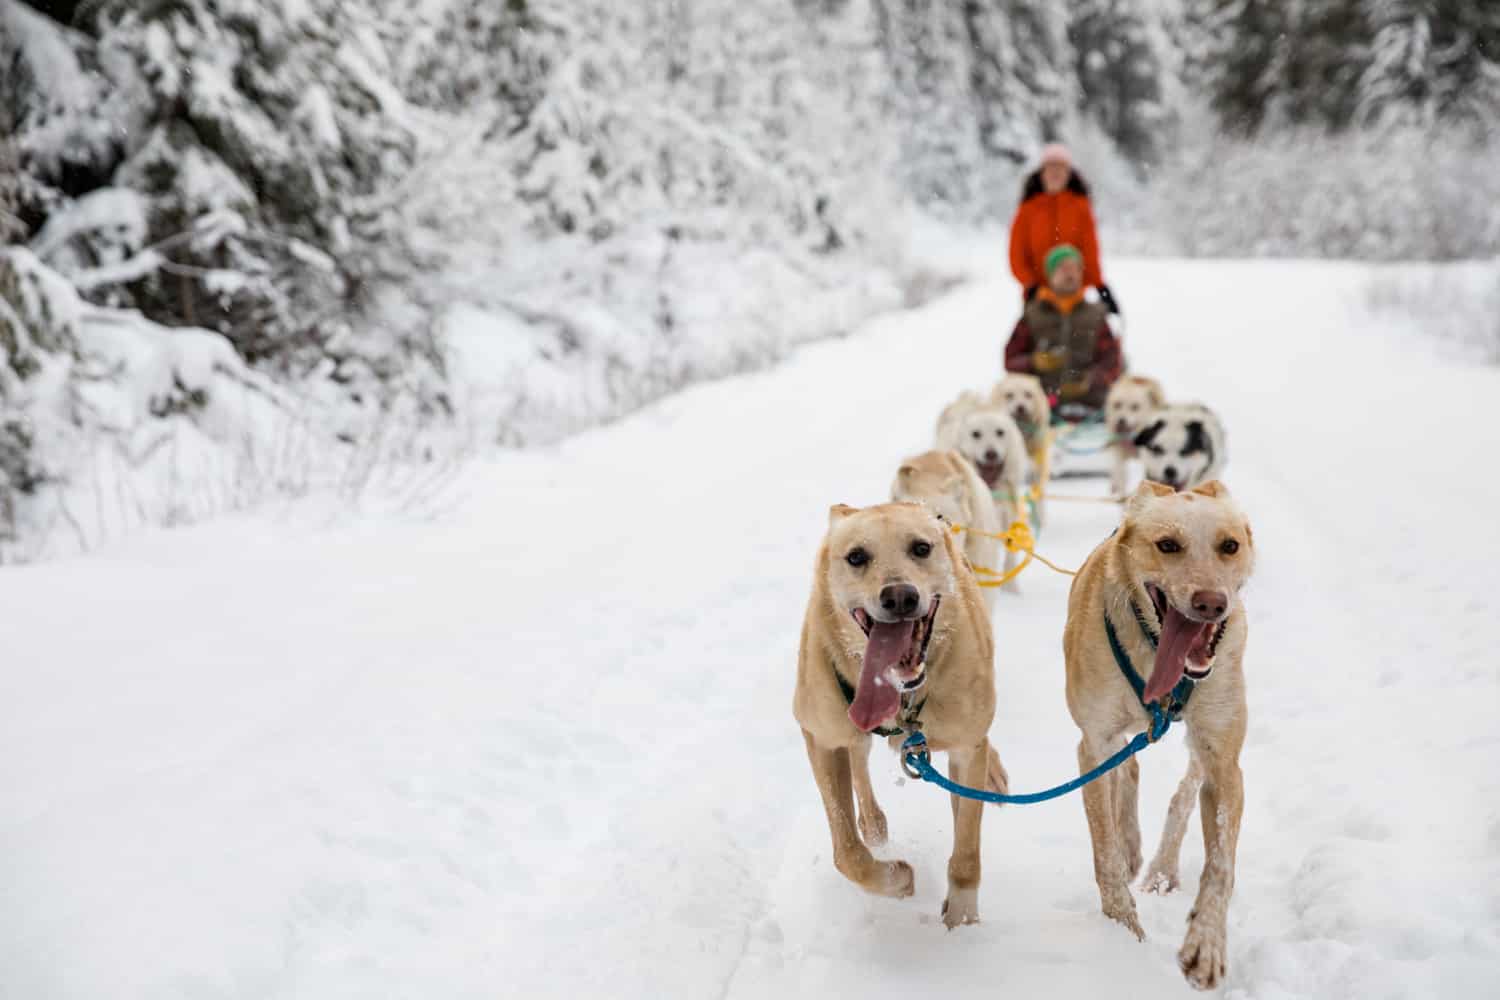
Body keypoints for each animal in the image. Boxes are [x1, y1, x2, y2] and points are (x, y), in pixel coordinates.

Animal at [792, 503, 1014, 929]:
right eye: (856, 557)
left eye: (921, 548)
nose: (899, 596)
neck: (903, 696)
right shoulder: (822, 740)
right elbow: (847, 851)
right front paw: (896, 880)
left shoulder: (966, 751)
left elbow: (967, 844)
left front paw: (961, 915)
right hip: (848, 728)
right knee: (858, 764)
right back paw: (874, 825)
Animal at [1062, 479, 1260, 989]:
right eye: (1168, 545)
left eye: (1229, 545)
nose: (1211, 602)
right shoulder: (1093, 745)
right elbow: (1105, 849)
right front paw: (1122, 931)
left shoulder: (1225, 760)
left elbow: (1221, 864)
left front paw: (1206, 945)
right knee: (1127, 773)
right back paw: (1133, 848)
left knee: (1184, 789)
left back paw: (1162, 868)